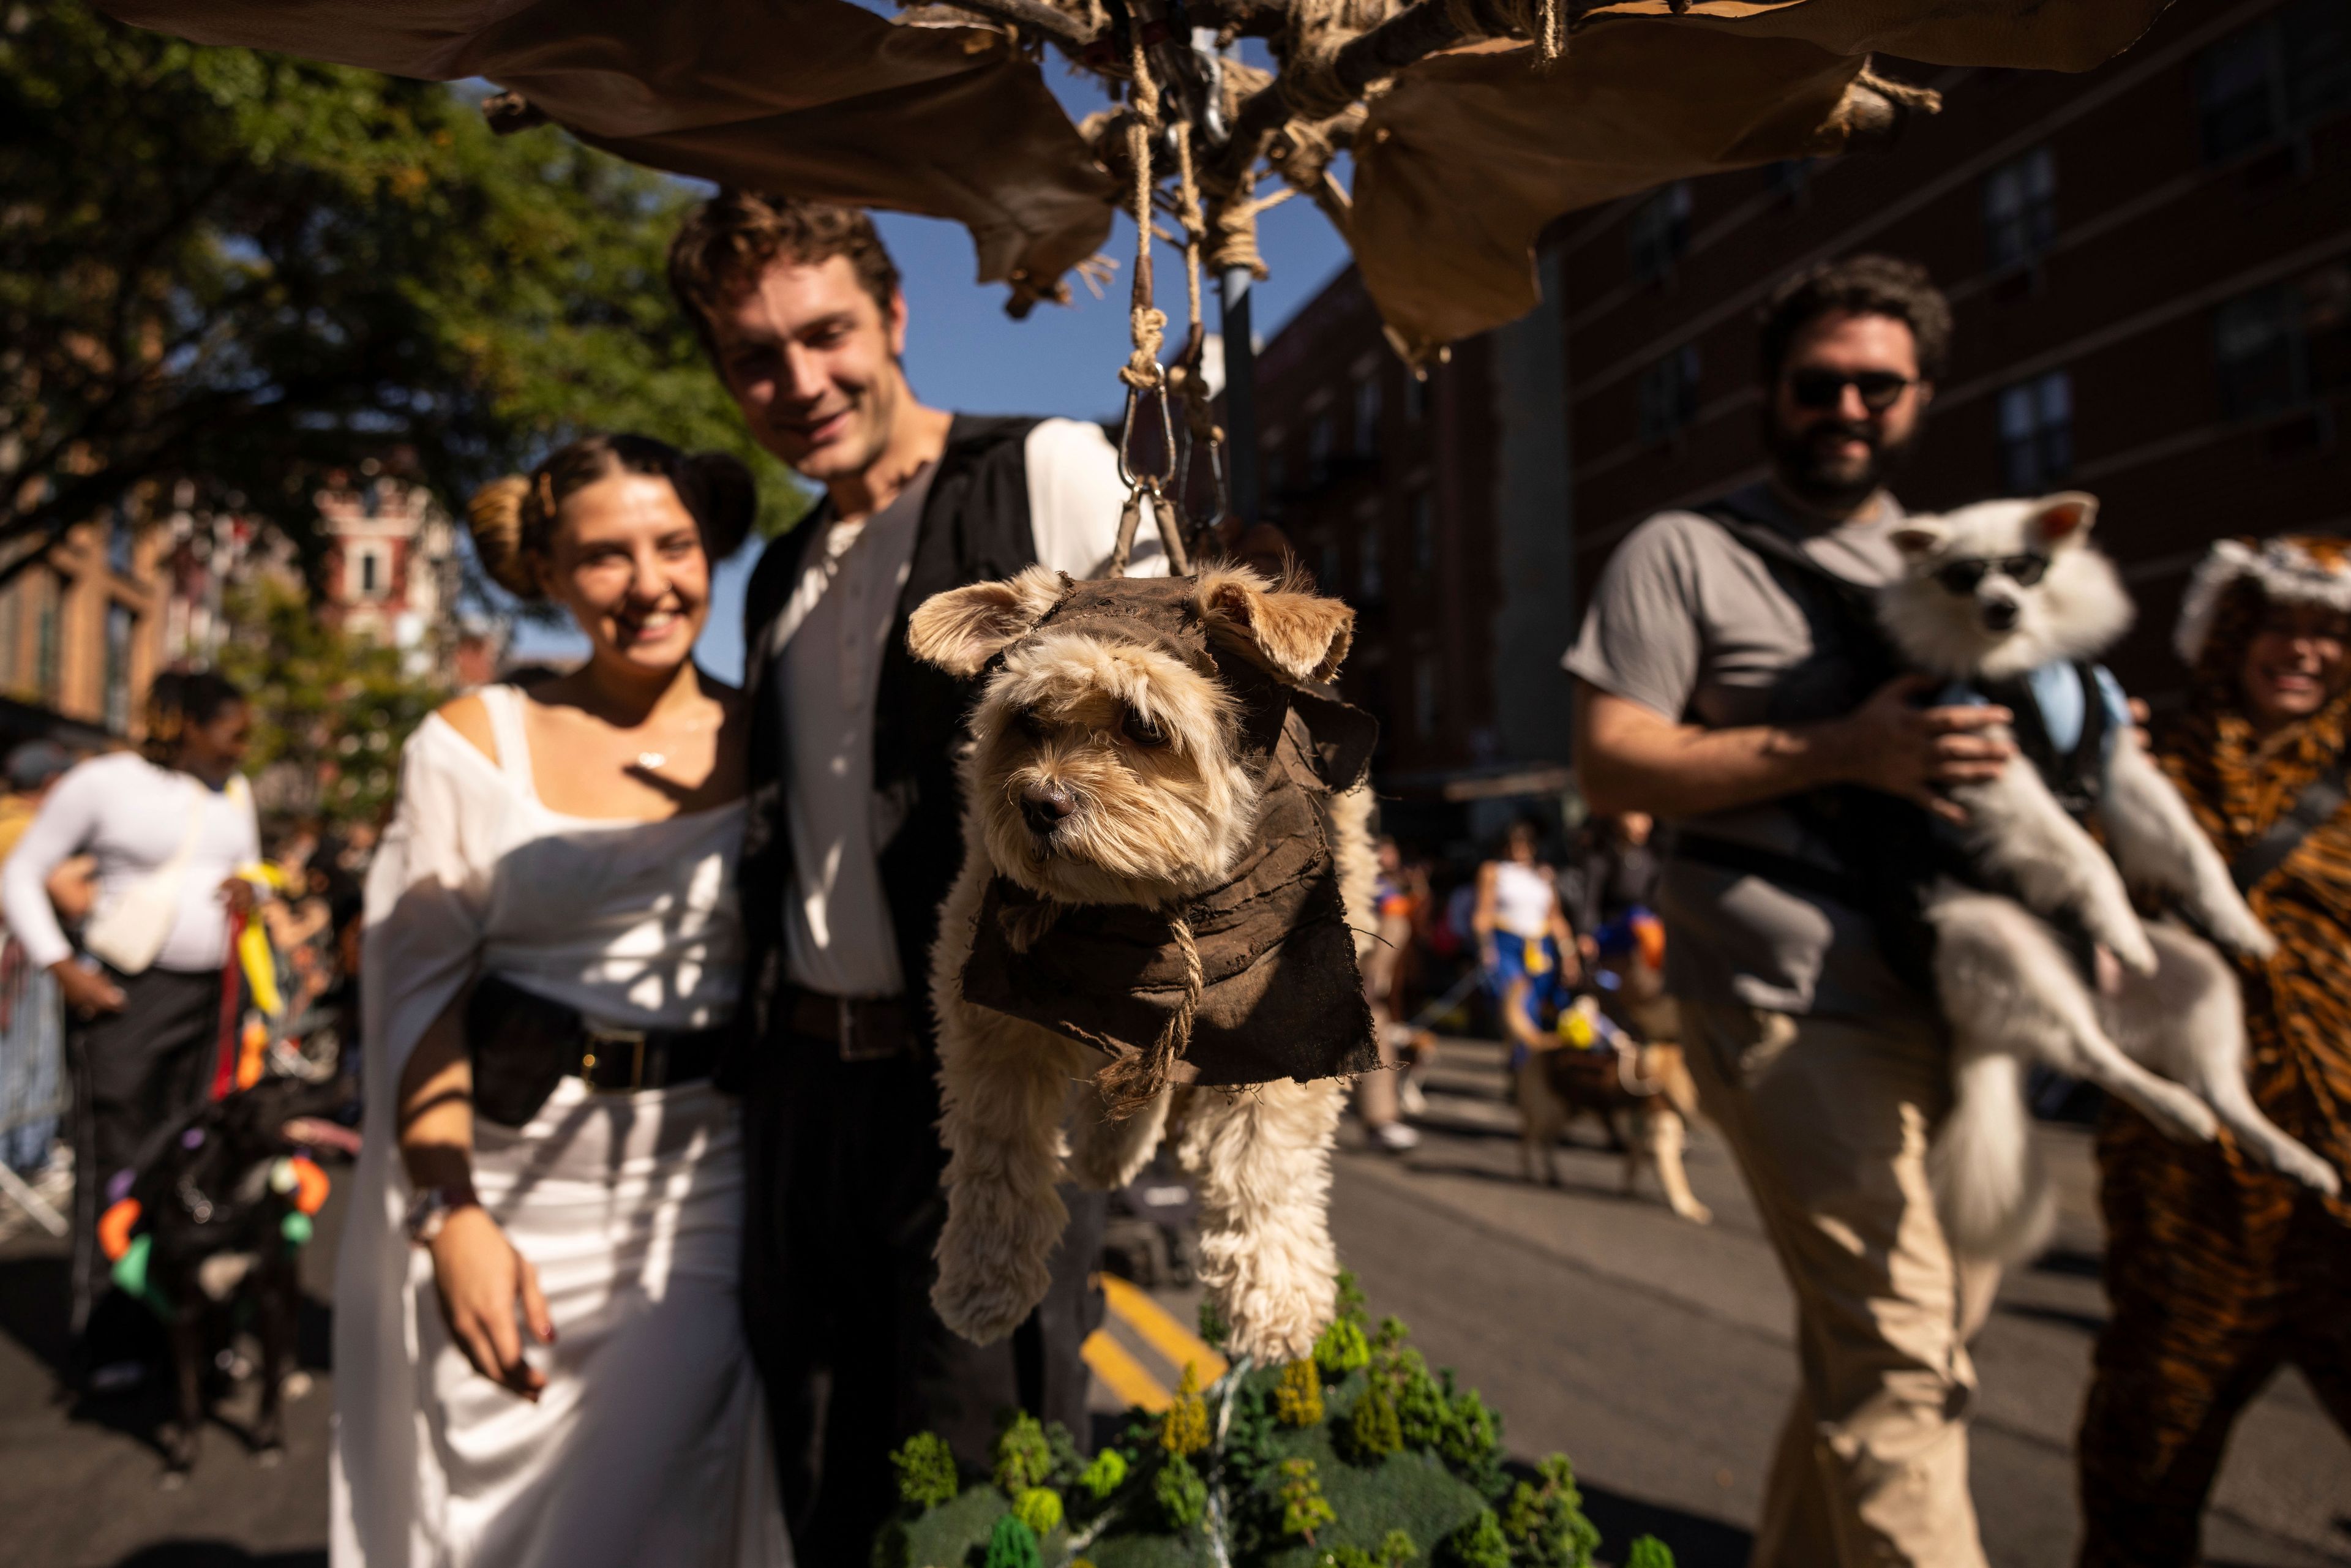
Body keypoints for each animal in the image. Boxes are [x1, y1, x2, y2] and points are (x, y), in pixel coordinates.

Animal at [1871, 491, 2332, 1260]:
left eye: (2025, 567)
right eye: (1963, 576)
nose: (2001, 606)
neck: (2024, 668)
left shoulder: (2120, 761)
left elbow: (2191, 847)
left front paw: (2236, 916)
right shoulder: (1992, 764)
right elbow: (2082, 852)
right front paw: (2117, 922)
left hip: (2200, 977)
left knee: (2218, 1086)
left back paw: (2283, 1149)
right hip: (2000, 946)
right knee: (2092, 1052)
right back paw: (2173, 1101)